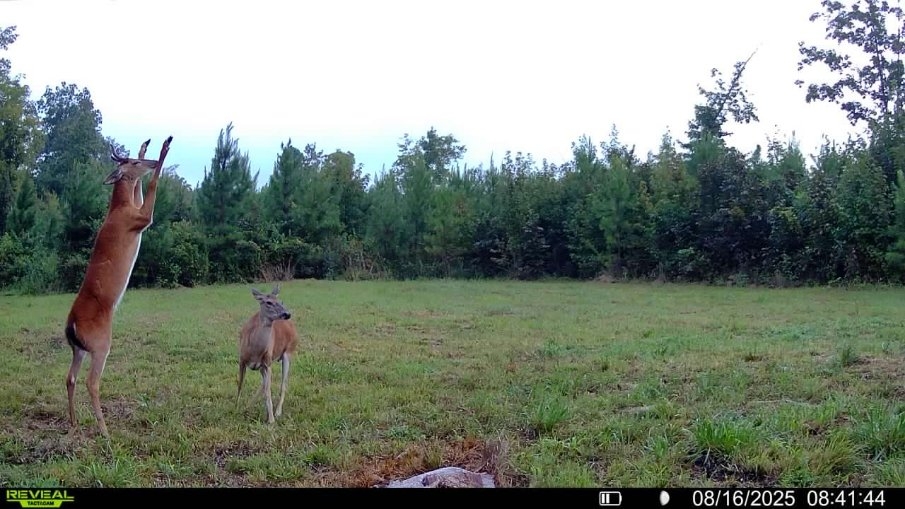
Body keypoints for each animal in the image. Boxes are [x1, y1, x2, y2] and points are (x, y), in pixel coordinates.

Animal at [64, 136, 173, 439]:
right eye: (133, 163)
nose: (149, 162)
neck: (118, 210)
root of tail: (71, 326)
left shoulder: (136, 212)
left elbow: (140, 192)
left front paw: (149, 145)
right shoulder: (140, 219)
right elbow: (151, 189)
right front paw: (164, 149)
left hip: (79, 348)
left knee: (70, 378)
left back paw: (75, 422)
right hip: (101, 344)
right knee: (91, 382)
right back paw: (105, 431)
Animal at [236, 285, 299, 424]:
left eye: (279, 300)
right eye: (268, 302)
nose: (287, 313)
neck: (254, 350)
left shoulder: (267, 362)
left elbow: (268, 390)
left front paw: (270, 419)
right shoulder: (242, 359)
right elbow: (240, 384)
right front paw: (236, 406)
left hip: (288, 352)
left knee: (283, 384)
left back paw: (277, 412)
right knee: (264, 384)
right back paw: (248, 406)